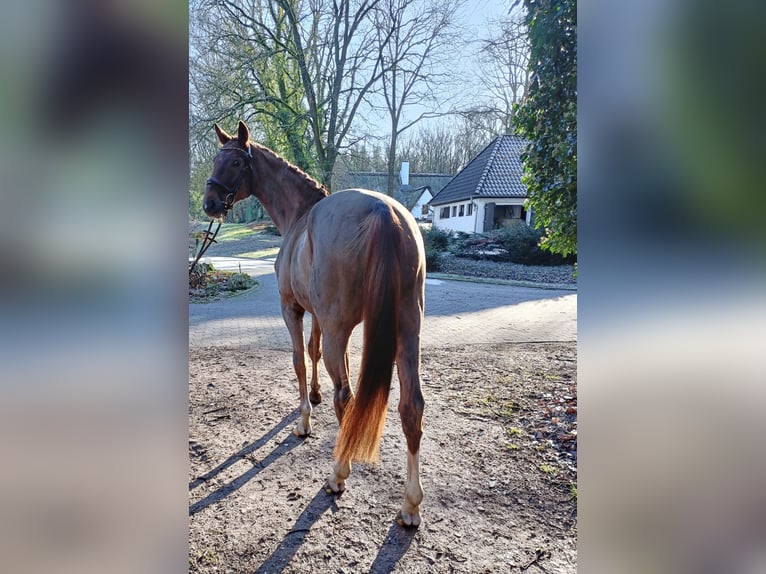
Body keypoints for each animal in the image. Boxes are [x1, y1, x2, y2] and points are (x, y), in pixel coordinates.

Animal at [204, 121, 428, 528]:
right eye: (215, 159)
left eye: (234, 162)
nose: (209, 204)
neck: (299, 217)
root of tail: (384, 211)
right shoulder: (319, 317)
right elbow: (313, 350)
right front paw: (315, 393)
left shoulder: (292, 309)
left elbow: (298, 359)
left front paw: (304, 420)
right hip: (408, 330)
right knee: (411, 406)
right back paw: (410, 504)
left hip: (344, 330)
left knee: (347, 397)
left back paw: (338, 473)